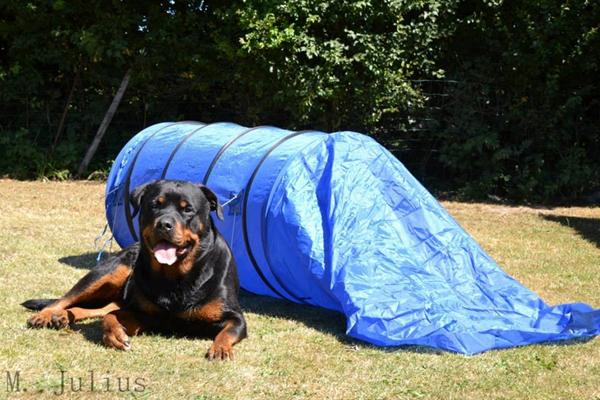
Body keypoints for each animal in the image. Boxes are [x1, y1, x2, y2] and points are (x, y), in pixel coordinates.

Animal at [21, 180, 246, 360]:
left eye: (187, 209)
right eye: (155, 205)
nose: (164, 224)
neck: (175, 276)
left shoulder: (235, 317)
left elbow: (227, 332)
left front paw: (220, 349)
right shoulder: (142, 313)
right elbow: (110, 317)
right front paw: (115, 336)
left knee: (103, 306)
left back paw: (62, 316)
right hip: (109, 271)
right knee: (70, 298)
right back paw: (48, 314)